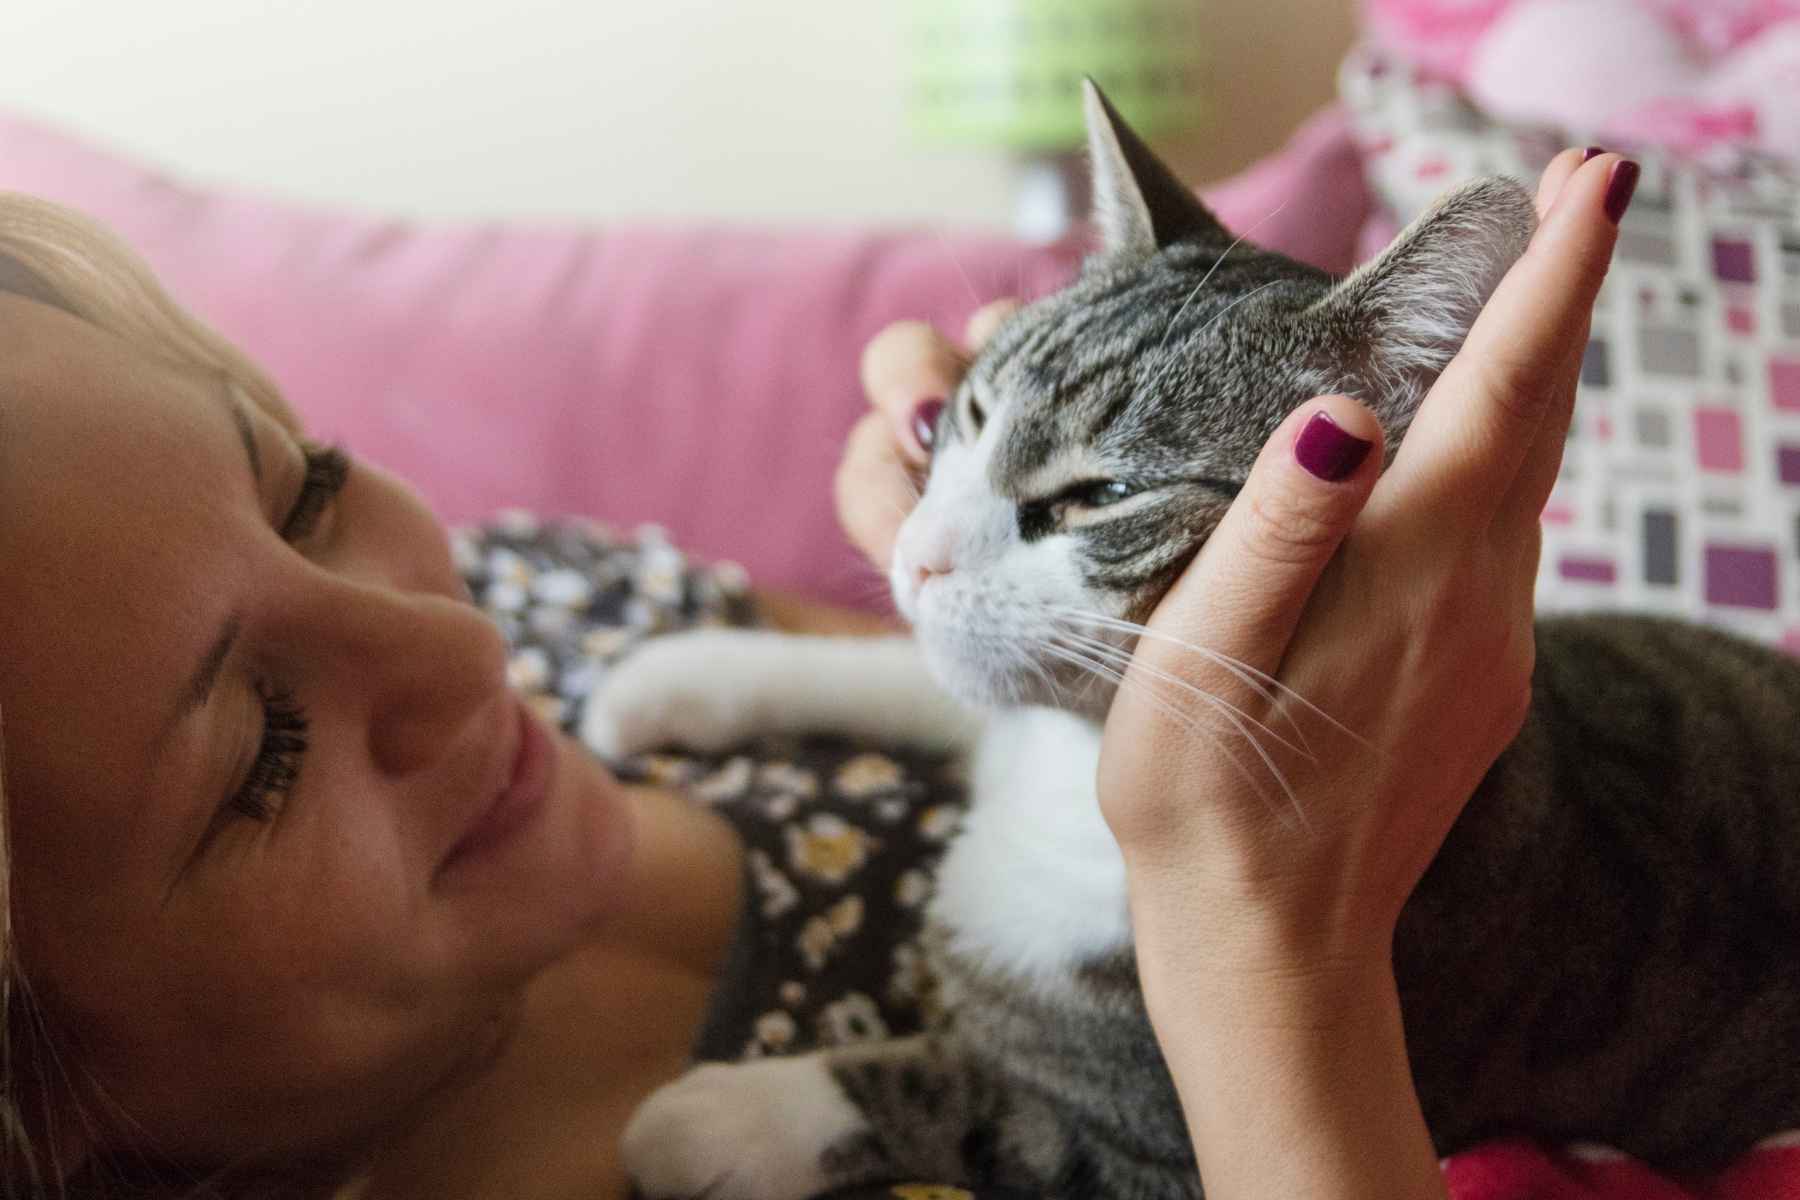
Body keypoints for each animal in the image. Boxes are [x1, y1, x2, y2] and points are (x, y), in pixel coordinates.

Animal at [579, 84, 1800, 1200]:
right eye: (966, 416)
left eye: (1104, 495)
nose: (918, 559)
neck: (1068, 769)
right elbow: (911, 678)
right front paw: (677, 673)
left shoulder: (1143, 1147)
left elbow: (975, 1099)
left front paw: (727, 1116)